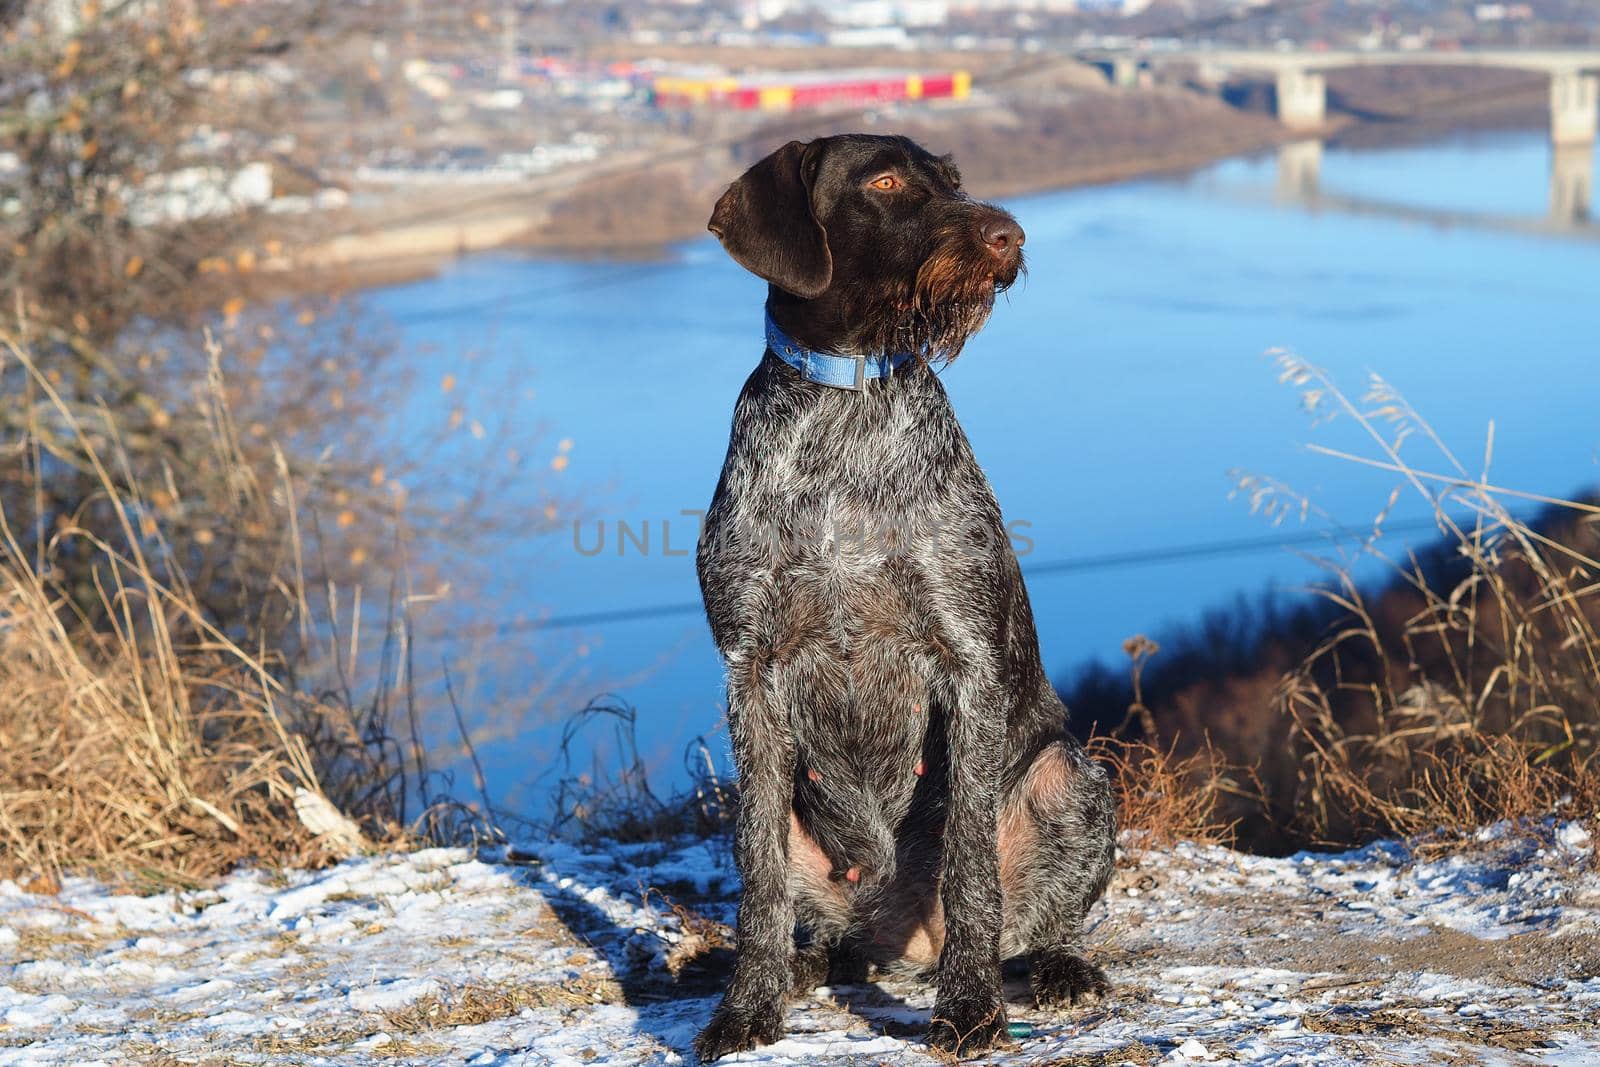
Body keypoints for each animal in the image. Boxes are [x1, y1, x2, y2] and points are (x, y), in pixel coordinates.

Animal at [694, 133, 1120, 1062]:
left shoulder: (964, 662)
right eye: (884, 182)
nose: (1008, 234)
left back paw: (1059, 966)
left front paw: (970, 1007)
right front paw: (747, 1006)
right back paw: (803, 964)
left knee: (1037, 925)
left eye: (953, 182)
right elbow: (756, 880)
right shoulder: (749, 673)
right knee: (818, 926)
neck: (844, 406)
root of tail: (900, 944)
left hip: (1070, 778)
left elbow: (968, 866)